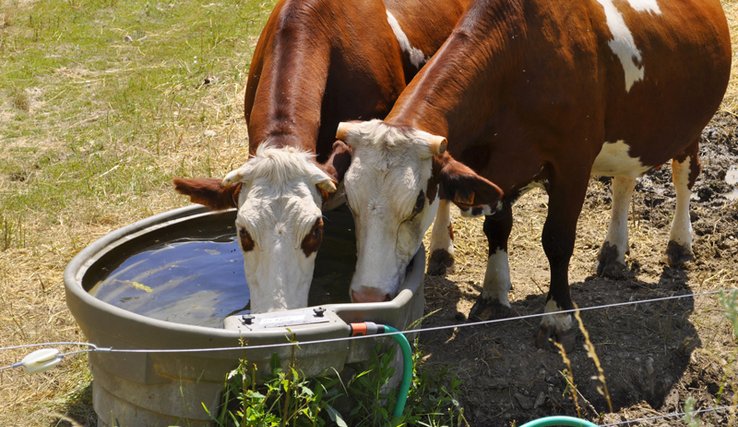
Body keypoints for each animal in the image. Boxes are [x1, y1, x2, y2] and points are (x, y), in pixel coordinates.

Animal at [334, 0, 732, 348]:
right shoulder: (495, 167)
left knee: (684, 176)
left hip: (688, 127)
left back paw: (679, 243)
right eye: (350, 204)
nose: (366, 295)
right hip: (633, 127)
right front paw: (493, 294)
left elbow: (557, 239)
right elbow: (497, 227)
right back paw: (614, 251)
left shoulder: (572, 160)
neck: (517, 63)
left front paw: (558, 317)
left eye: (417, 205)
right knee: (624, 180)